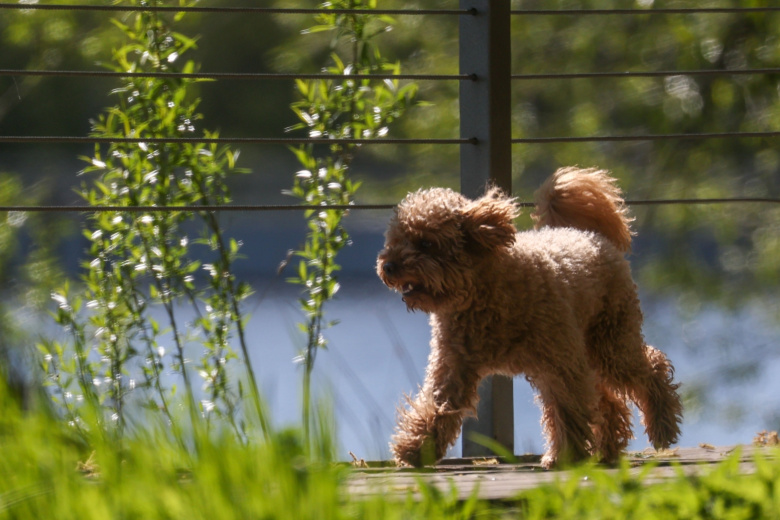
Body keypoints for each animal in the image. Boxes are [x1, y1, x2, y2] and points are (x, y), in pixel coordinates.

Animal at [376, 167, 682, 469]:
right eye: (396, 240)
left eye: (426, 243)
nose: (388, 266)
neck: (484, 291)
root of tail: (589, 234)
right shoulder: (454, 365)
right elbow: (438, 406)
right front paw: (416, 448)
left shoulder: (559, 364)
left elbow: (565, 408)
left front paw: (565, 455)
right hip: (588, 349)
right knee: (607, 400)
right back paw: (607, 450)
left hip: (610, 341)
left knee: (651, 369)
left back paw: (662, 428)